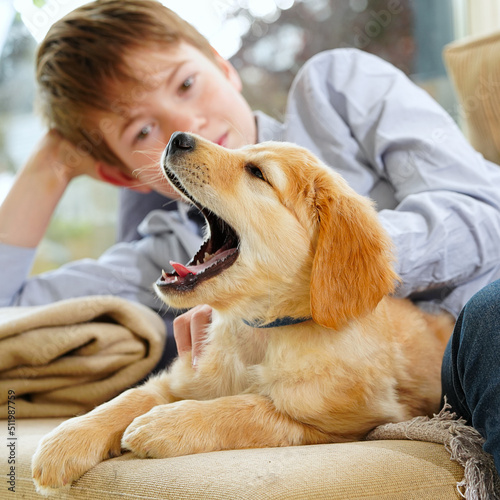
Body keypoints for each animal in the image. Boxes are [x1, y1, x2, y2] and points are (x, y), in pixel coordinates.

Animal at [31, 131, 454, 494]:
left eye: (257, 173)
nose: (176, 137)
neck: (259, 330)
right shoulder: (182, 376)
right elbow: (129, 396)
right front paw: (66, 439)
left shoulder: (354, 420)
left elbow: (250, 408)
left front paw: (167, 423)